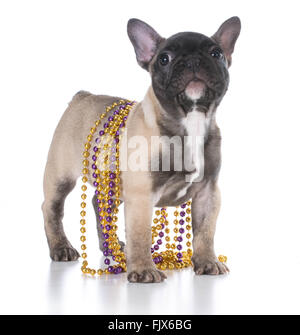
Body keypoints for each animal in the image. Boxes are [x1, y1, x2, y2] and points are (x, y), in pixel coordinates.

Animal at [41, 16, 240, 284]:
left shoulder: (208, 193)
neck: (190, 120)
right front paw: (144, 270)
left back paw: (111, 247)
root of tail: (82, 96)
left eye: (216, 53)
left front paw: (207, 261)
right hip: (61, 176)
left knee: (99, 205)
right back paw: (61, 247)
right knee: (52, 207)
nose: (192, 60)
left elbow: (205, 232)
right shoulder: (142, 195)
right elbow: (140, 234)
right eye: (164, 58)